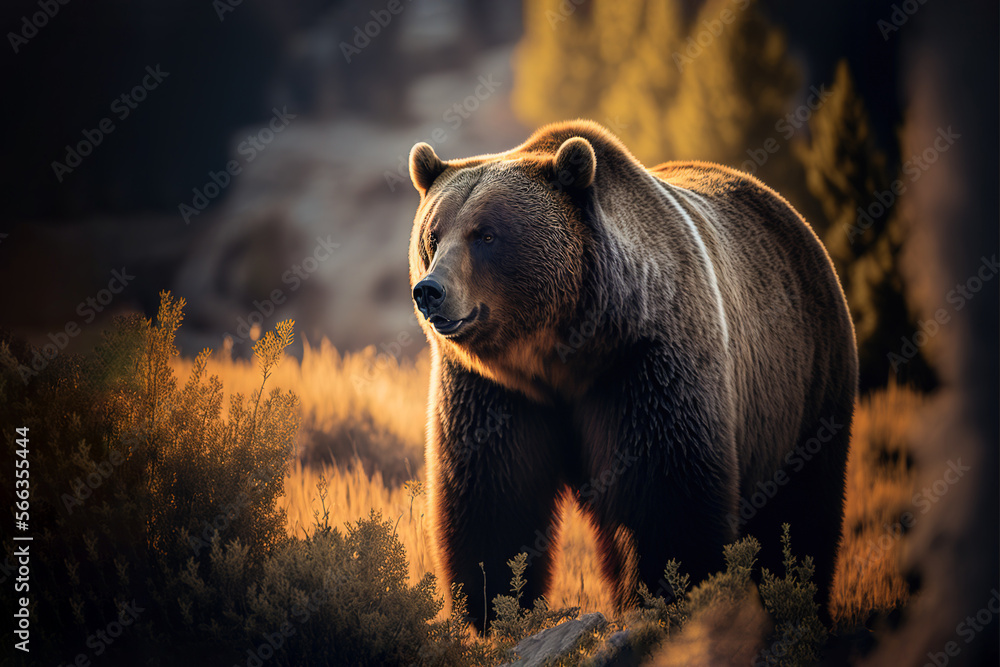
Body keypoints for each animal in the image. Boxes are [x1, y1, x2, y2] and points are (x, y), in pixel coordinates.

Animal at [406, 119, 857, 627]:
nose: (431, 291)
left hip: (807, 382)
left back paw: (801, 596)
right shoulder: (494, 391)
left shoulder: (646, 364)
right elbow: (491, 501)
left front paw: (668, 596)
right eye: (434, 235)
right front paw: (491, 610)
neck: (560, 349)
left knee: (801, 509)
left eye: (485, 235)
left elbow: (665, 498)